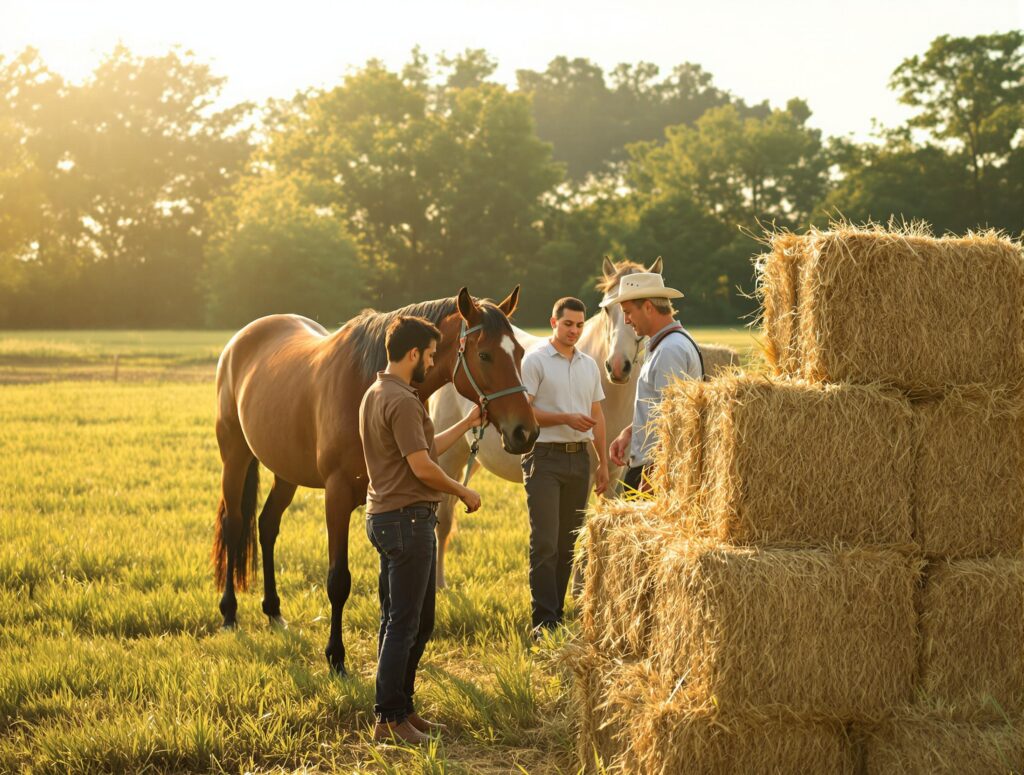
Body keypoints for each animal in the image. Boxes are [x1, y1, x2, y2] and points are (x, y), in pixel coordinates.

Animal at [212, 287, 539, 675]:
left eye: (519, 353)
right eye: (485, 354)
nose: (526, 432)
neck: (365, 384)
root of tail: (242, 339)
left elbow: (389, 588)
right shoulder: (337, 496)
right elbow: (339, 581)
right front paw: (336, 657)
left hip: (285, 471)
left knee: (267, 525)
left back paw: (274, 611)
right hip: (234, 455)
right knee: (234, 526)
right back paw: (229, 613)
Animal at [427, 257, 659, 589]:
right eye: (607, 310)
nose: (617, 366)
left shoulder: (612, 477)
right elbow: (576, 529)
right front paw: (576, 588)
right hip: (449, 457)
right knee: (444, 520)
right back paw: (440, 583)